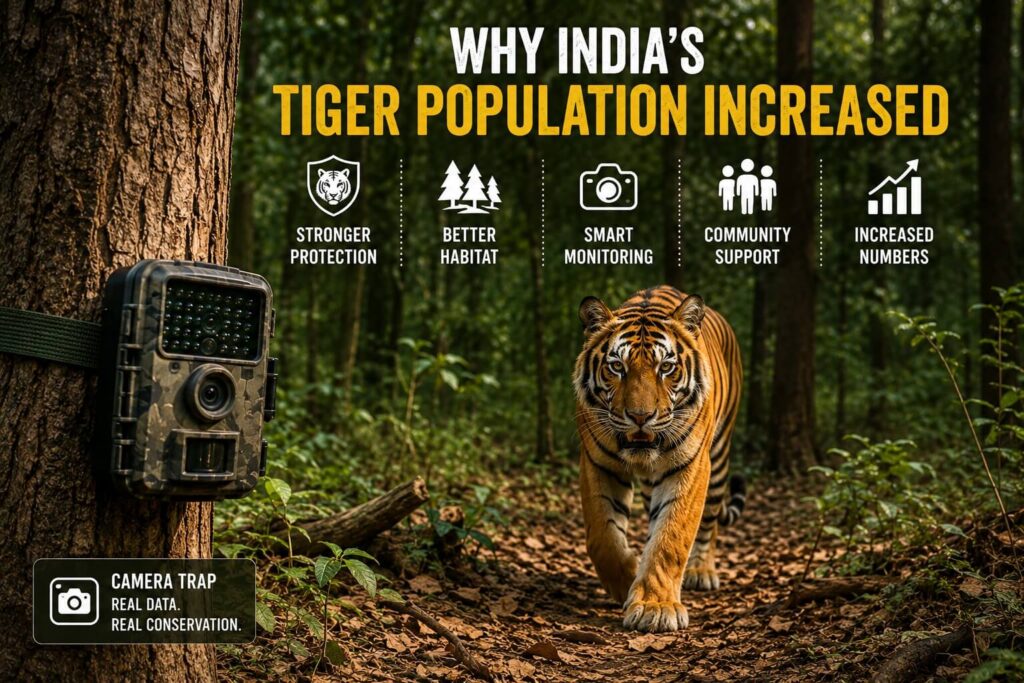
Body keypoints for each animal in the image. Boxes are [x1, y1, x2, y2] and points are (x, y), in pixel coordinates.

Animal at [574, 285, 745, 633]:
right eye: (617, 367)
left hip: (719, 458)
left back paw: (701, 571)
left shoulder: (691, 466)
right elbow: (603, 538)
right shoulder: (597, 463)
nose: (640, 417)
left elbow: (671, 537)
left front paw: (655, 607)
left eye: (666, 367)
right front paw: (627, 580)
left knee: (710, 522)